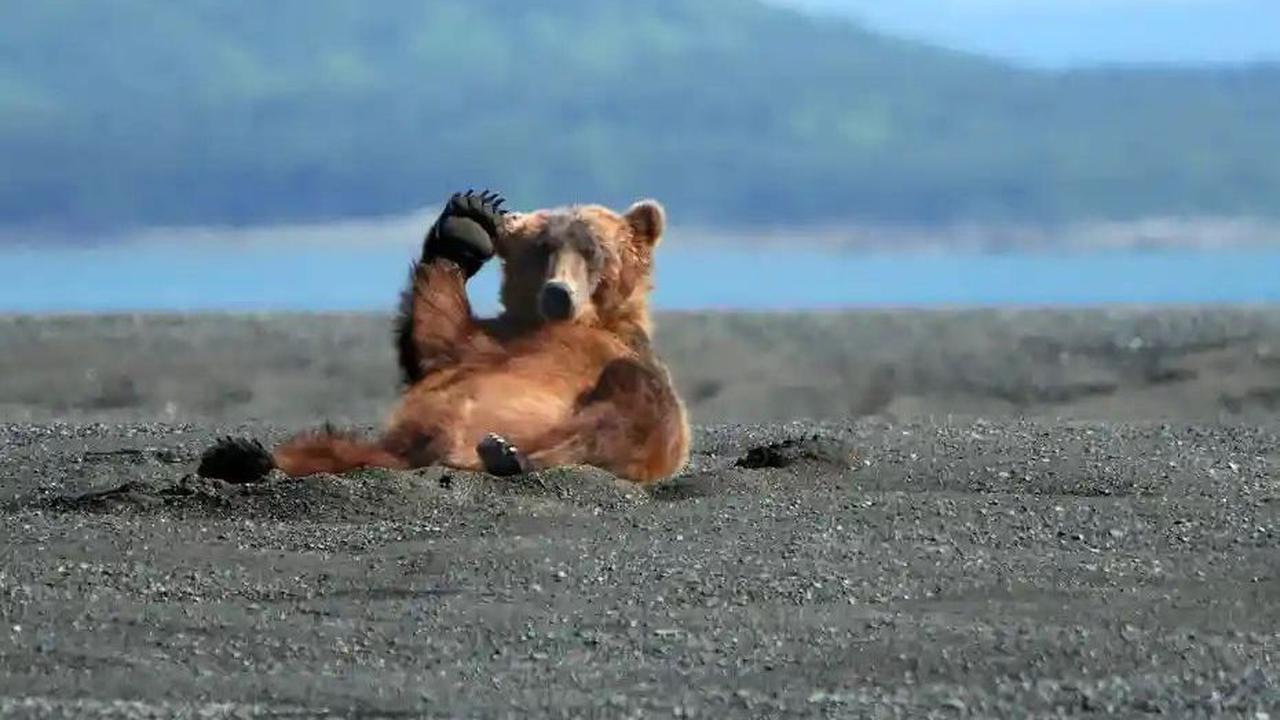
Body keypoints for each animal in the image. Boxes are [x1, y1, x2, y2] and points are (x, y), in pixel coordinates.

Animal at [198, 190, 691, 485]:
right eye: (542, 249)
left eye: (593, 251)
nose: (558, 293)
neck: (574, 326)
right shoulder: (488, 344)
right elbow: (437, 335)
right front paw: (468, 224)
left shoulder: (621, 354)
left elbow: (645, 410)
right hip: (387, 446)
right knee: (329, 448)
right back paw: (241, 457)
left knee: (623, 413)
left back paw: (511, 454)